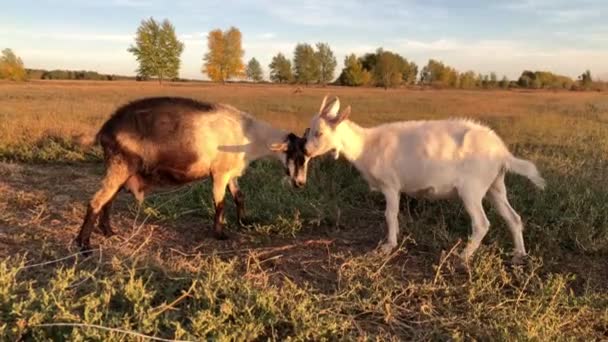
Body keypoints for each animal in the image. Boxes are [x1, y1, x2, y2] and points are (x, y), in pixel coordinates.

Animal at [304, 95, 548, 264]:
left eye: (319, 133)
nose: (305, 151)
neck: (366, 145)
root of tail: (502, 152)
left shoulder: (391, 185)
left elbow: (390, 214)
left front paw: (388, 246)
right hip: (495, 186)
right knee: (513, 218)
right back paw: (519, 255)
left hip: (472, 189)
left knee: (481, 223)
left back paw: (463, 256)